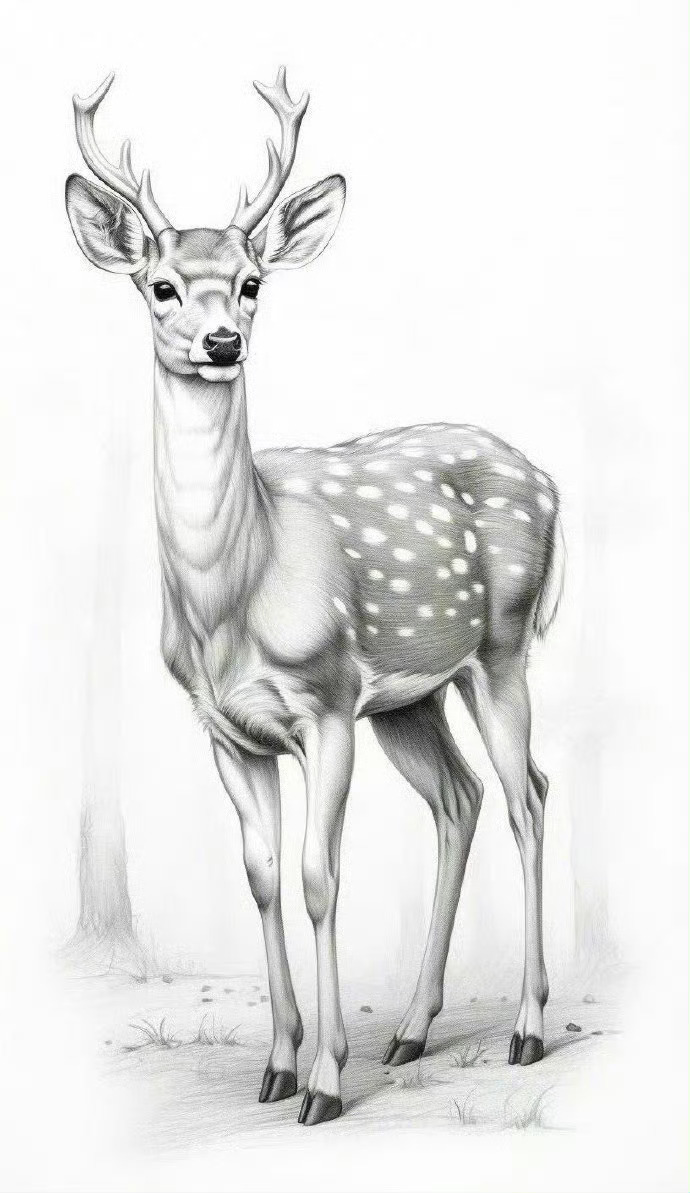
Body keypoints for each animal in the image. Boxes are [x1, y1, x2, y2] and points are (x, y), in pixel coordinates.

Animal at [65, 68, 565, 1126]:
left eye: (253, 282)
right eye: (161, 286)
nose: (221, 340)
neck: (233, 600)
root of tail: (550, 482)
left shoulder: (326, 700)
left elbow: (318, 876)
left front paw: (326, 1083)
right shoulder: (225, 727)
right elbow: (260, 878)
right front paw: (280, 1064)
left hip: (502, 649)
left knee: (528, 795)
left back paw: (528, 1029)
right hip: (414, 697)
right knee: (460, 799)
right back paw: (411, 1029)